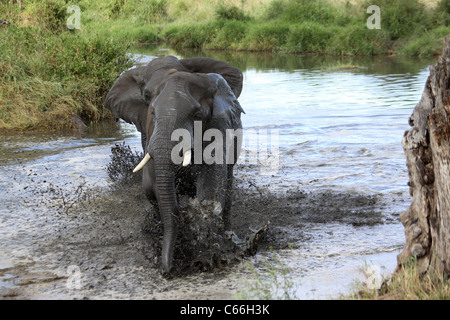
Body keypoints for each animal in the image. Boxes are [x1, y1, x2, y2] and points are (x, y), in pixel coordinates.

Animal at [103, 55, 244, 276]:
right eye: (151, 109)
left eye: (198, 115)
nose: (166, 271)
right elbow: (151, 186)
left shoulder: (218, 128)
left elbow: (210, 187)